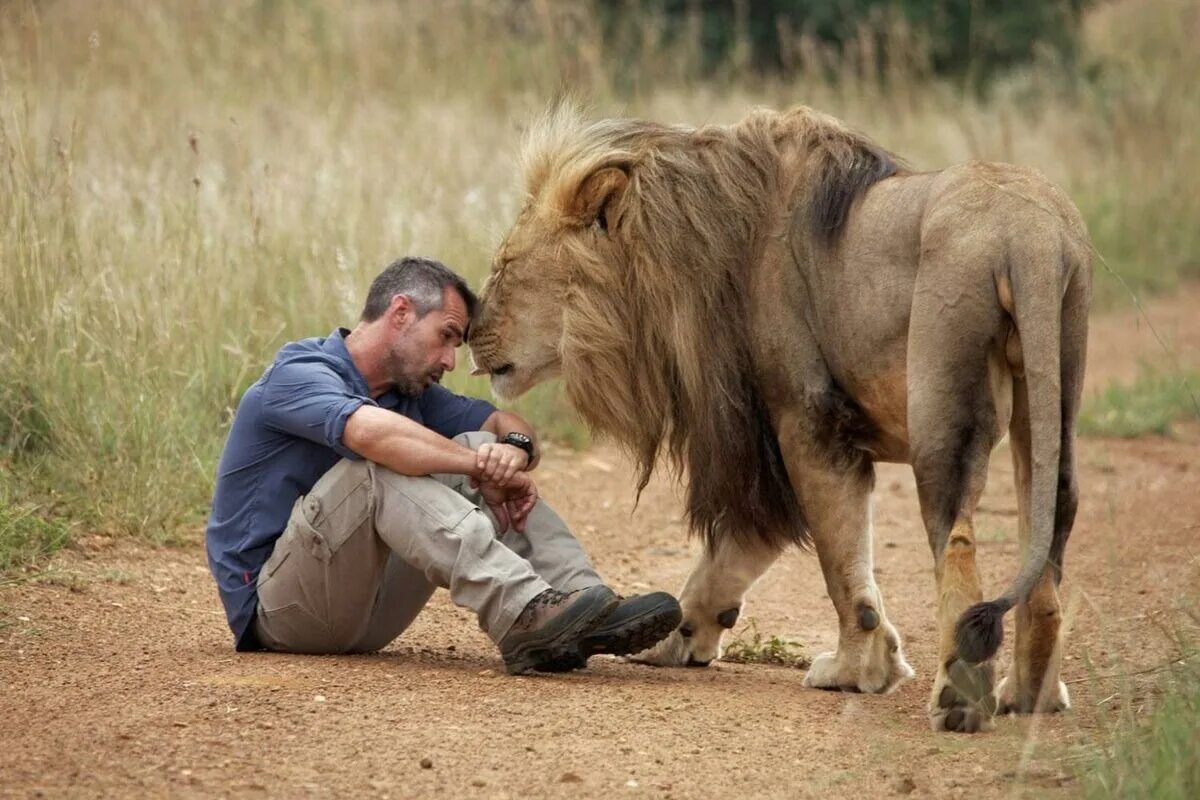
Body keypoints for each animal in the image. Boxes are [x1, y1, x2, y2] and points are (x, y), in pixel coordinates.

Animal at [465, 104, 1089, 734]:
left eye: (505, 265)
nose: (467, 330)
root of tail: (1030, 236)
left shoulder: (805, 421)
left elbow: (840, 564)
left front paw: (855, 670)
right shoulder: (770, 442)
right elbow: (731, 556)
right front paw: (672, 635)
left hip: (943, 406)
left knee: (957, 542)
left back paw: (960, 700)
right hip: (1049, 401)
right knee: (1048, 533)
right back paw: (1029, 694)